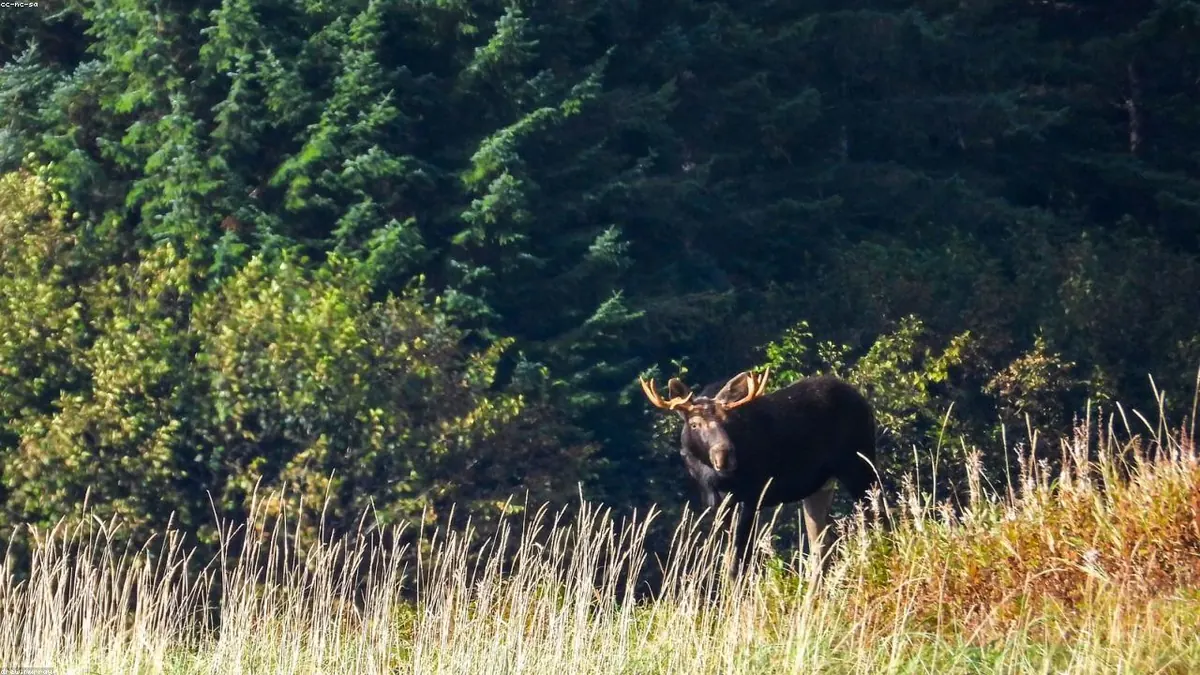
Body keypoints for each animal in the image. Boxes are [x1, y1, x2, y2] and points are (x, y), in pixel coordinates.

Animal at [640, 367, 877, 575]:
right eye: (695, 424)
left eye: (728, 421)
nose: (725, 456)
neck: (712, 477)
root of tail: (863, 401)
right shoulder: (716, 503)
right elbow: (730, 557)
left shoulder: (752, 497)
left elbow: (741, 558)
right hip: (820, 486)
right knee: (821, 545)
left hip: (857, 463)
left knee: (873, 514)